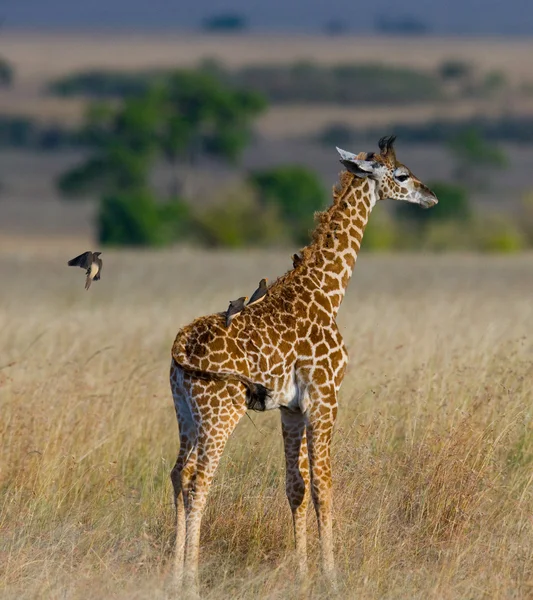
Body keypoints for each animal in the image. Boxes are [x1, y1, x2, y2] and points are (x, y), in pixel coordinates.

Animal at [167, 137, 436, 596]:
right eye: (401, 175)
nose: (431, 195)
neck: (327, 292)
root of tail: (180, 344)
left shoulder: (292, 409)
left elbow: (296, 486)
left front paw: (304, 574)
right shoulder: (325, 399)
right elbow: (324, 486)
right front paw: (331, 576)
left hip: (186, 412)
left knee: (178, 473)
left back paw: (171, 577)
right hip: (221, 410)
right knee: (200, 480)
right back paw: (192, 582)